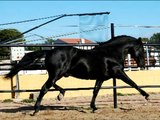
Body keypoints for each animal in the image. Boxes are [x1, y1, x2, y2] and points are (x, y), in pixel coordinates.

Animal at [5, 35, 150, 115]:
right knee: (44, 88)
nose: (143, 65)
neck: (110, 53)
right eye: (141, 49)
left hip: (58, 74)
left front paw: (93, 107)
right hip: (57, 73)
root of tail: (49, 51)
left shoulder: (101, 78)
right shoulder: (119, 73)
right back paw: (36, 110)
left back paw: (61, 94)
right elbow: (132, 83)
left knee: (51, 85)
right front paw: (147, 96)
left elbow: (95, 91)